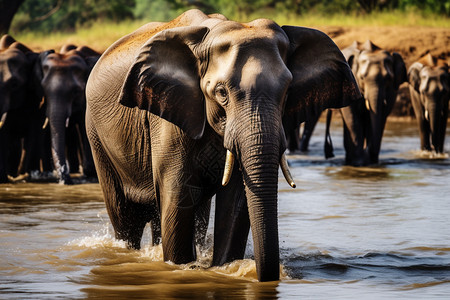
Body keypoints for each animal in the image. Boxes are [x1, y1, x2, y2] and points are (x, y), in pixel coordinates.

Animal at [85, 9, 362, 282]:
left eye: (286, 92)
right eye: (221, 93)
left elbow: (236, 200)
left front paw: (224, 269)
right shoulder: (168, 117)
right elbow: (177, 197)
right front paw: (181, 269)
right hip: (97, 136)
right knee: (125, 218)